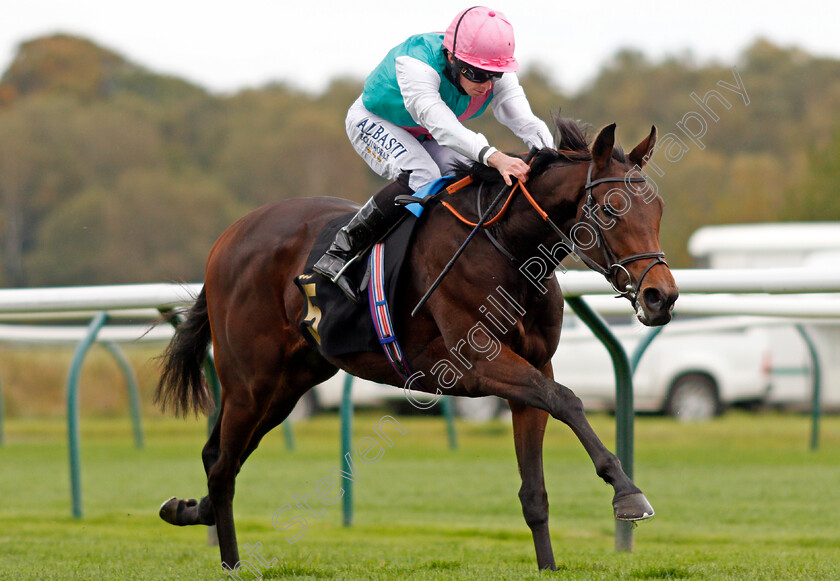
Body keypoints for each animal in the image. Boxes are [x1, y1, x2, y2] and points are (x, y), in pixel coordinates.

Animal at [158, 118, 680, 572]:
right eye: (611, 208)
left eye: (658, 209)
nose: (662, 296)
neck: (506, 245)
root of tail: (228, 238)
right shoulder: (476, 362)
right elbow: (568, 401)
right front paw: (628, 493)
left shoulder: (534, 367)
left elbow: (535, 487)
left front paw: (549, 565)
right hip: (251, 380)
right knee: (223, 468)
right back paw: (230, 561)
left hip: (289, 383)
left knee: (218, 457)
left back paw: (186, 509)